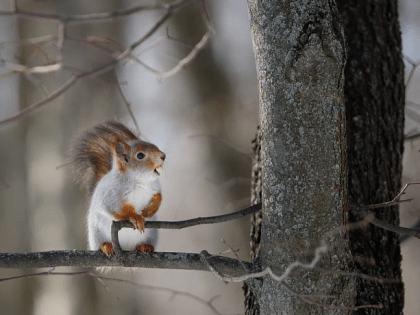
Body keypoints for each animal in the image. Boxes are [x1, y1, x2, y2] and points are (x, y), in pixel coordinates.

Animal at [71, 121, 165, 256]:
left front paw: (151, 210)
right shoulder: (111, 194)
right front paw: (136, 217)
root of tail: (126, 246)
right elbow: (118, 209)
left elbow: (159, 196)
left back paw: (145, 246)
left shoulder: (155, 187)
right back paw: (106, 246)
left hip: (152, 234)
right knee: (101, 243)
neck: (140, 180)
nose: (163, 156)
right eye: (140, 155)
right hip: (97, 232)